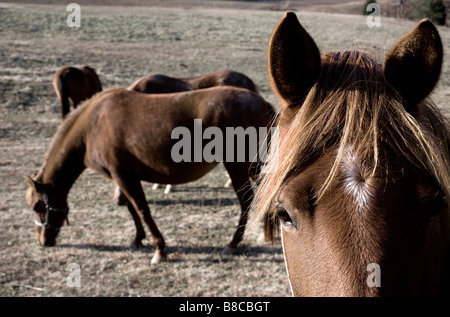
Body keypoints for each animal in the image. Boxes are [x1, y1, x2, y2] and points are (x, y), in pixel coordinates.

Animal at [27, 85, 278, 262]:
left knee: (247, 200)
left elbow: (142, 209)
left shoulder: (122, 175)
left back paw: (233, 243)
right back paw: (267, 233)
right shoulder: (125, 176)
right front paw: (138, 239)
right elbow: (132, 209)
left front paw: (159, 249)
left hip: (237, 166)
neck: (92, 125)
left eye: (38, 206)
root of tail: (261, 101)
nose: (42, 241)